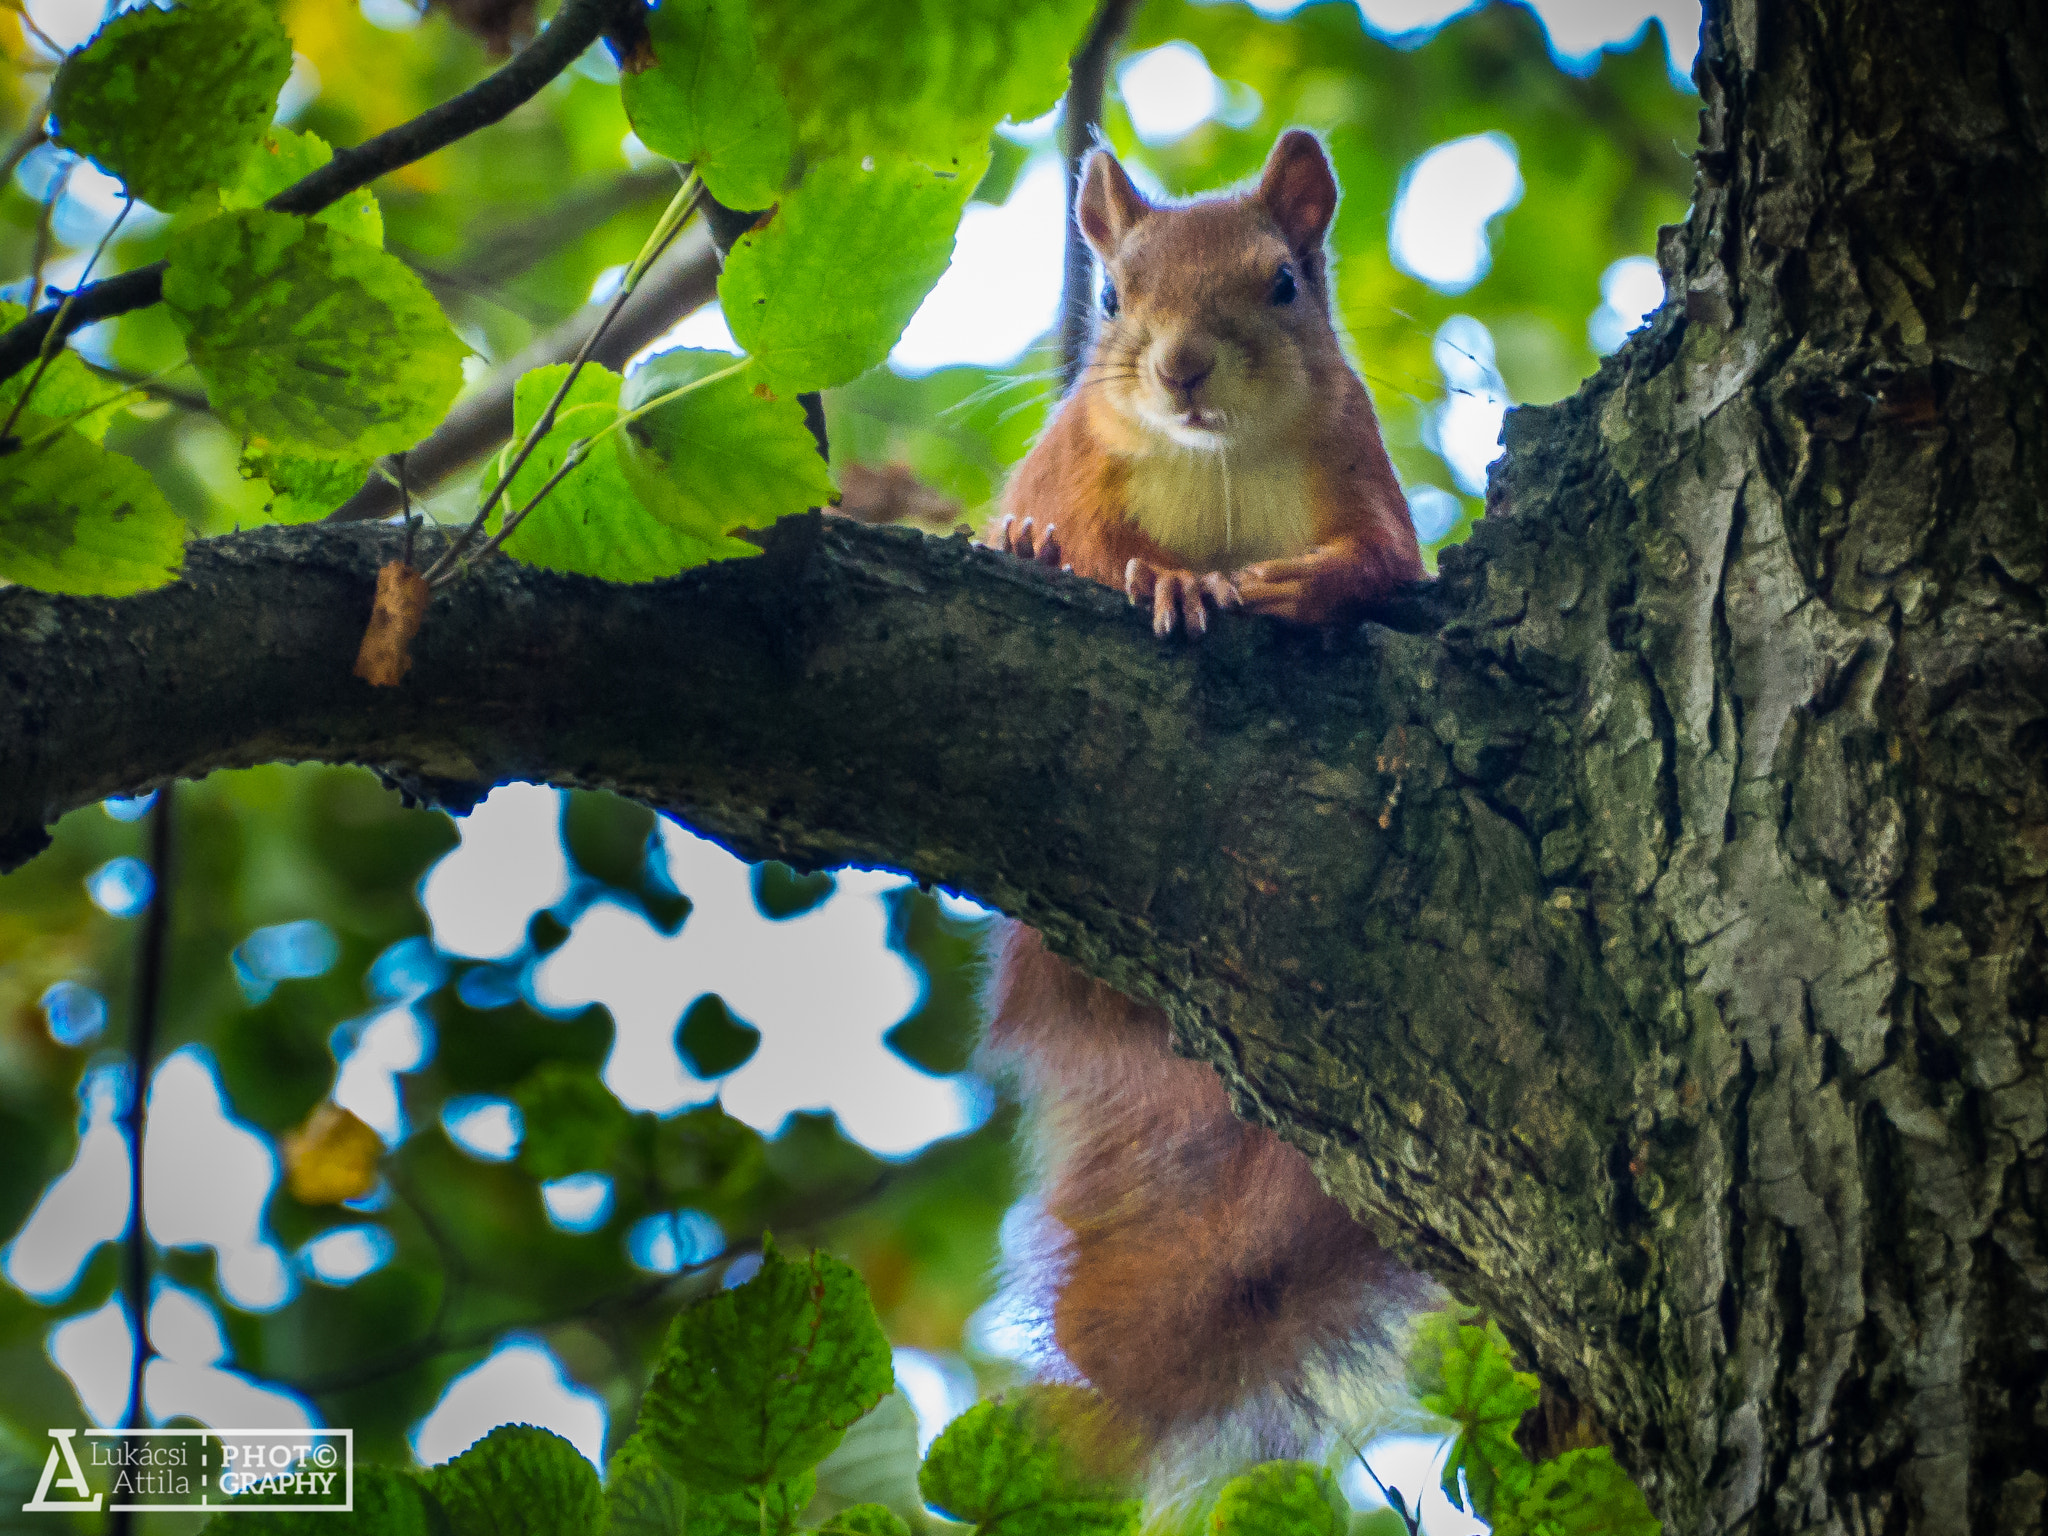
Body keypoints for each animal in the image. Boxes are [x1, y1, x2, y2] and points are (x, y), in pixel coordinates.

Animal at [979, 131, 1433, 1465]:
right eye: (1112, 297)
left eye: (1280, 282)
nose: (1180, 368)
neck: (1216, 459)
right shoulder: (1074, 470)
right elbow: (1089, 548)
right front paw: (1156, 582)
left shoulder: (1361, 472)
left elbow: (1381, 570)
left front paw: (1296, 589)